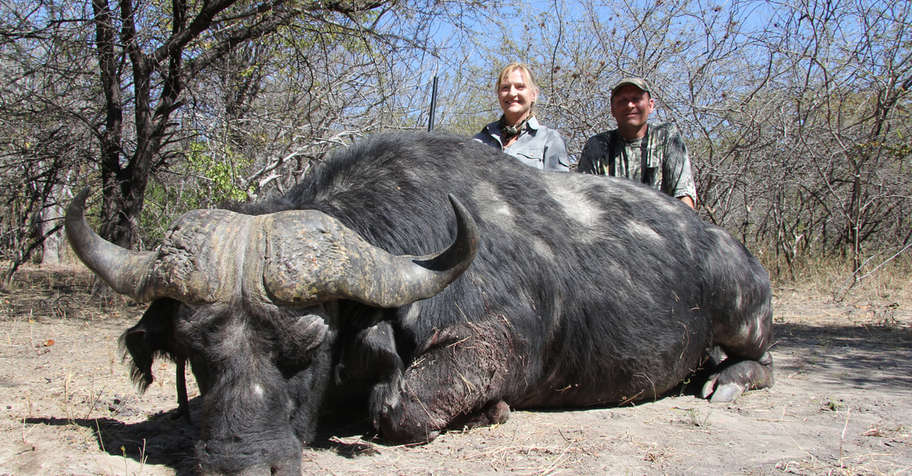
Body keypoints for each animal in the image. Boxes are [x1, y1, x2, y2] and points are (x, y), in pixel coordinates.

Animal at [66, 132, 774, 475]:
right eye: (194, 351)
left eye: (308, 346)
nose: (238, 462)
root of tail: (732, 249)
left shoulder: (490, 348)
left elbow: (398, 411)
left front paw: (489, 412)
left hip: (745, 318)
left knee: (759, 362)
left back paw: (726, 381)